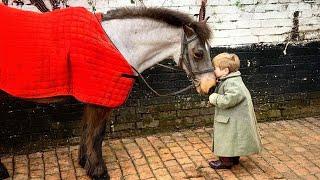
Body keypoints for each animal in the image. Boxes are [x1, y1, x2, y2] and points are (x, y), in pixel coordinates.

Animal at [0, 4, 216, 180]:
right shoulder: (101, 100)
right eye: (198, 53)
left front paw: (84, 162)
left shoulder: (94, 96)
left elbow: (87, 129)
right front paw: (98, 170)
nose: (211, 86)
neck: (116, 44)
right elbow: (97, 133)